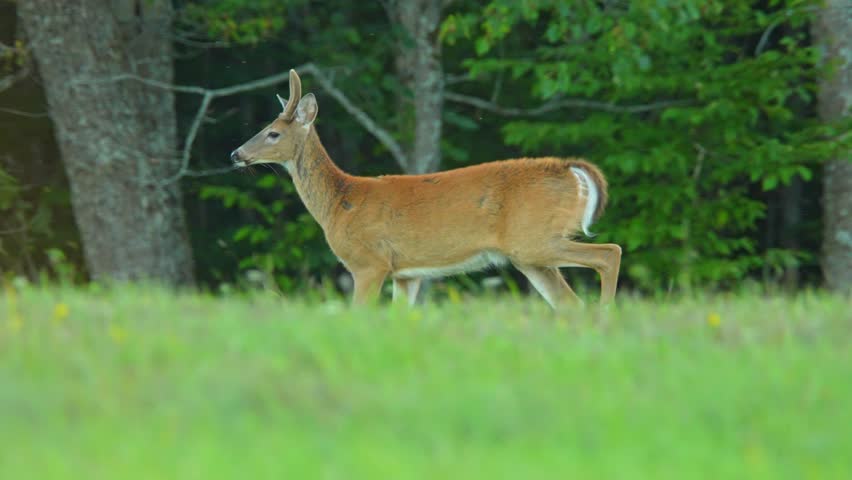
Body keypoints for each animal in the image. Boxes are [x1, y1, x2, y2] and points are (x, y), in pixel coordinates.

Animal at [230, 69, 624, 308]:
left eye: (273, 133)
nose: (236, 154)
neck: (340, 202)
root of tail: (571, 170)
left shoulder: (369, 262)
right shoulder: (407, 274)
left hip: (534, 239)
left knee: (610, 253)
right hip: (530, 256)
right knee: (572, 304)